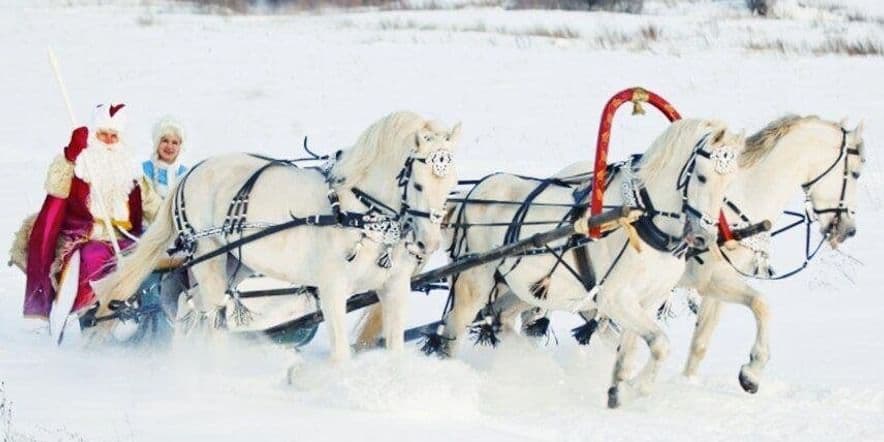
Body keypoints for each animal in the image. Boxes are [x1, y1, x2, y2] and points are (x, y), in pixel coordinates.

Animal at [95, 110, 462, 362]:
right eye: (418, 185)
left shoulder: (394, 286)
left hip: (235, 263)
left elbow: (396, 349)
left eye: (451, 183)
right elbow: (341, 354)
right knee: (209, 313)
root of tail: (191, 174)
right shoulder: (332, 287)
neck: (359, 211)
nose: (428, 243)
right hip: (207, 256)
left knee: (192, 306)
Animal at [400, 118, 744, 408]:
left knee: (501, 320)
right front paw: (637, 388)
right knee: (453, 332)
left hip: (520, 289)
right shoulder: (616, 299)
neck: (641, 220)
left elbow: (631, 349)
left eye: (730, 182)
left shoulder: (645, 302)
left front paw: (619, 389)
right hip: (474, 283)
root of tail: (472, 195)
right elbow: (660, 344)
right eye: (702, 177)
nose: (704, 237)